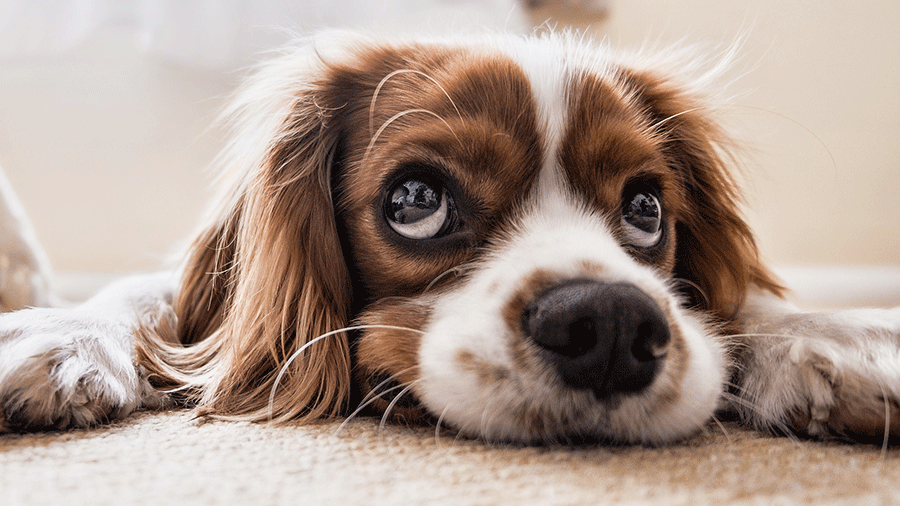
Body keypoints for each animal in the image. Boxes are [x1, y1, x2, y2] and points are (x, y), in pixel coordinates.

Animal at [1, 30, 900, 442]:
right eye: (416, 199)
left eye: (647, 210)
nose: (610, 325)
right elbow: (143, 294)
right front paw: (60, 333)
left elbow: (745, 301)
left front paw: (836, 336)